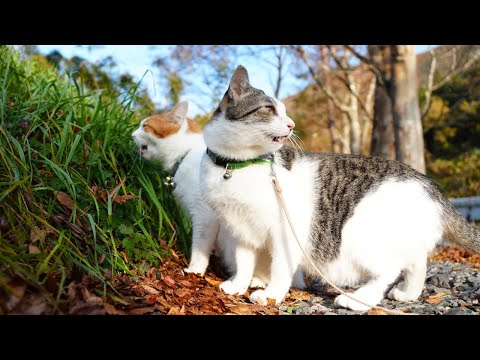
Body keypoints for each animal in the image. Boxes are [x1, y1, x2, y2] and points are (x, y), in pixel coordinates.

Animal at [129, 101, 306, 292]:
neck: (186, 153)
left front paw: (194, 269)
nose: (131, 135)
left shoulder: (205, 216)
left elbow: (199, 246)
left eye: (144, 126)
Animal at [202, 66, 480, 310]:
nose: (291, 124)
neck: (238, 165)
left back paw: (357, 300)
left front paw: (271, 295)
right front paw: (238, 285)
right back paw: (408, 293)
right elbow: (243, 262)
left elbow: (280, 268)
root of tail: (430, 184)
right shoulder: (240, 231)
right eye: (269, 109)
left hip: (359, 235)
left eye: (284, 111)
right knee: (417, 263)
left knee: (390, 270)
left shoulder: (285, 232)